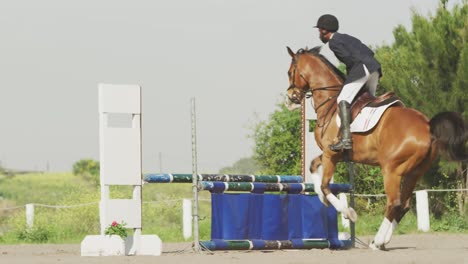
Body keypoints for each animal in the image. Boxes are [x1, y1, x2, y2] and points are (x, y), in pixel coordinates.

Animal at [286, 46, 468, 251]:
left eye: (290, 72)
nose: (290, 98)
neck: (330, 102)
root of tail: (428, 125)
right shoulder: (333, 153)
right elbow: (312, 167)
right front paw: (321, 198)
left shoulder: (331, 153)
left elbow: (326, 186)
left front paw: (348, 212)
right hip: (414, 172)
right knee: (404, 205)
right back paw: (381, 241)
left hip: (391, 170)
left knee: (394, 203)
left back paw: (377, 242)